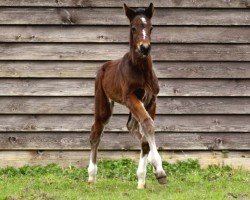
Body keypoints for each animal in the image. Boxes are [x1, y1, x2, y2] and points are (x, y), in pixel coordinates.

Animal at [87, 2, 167, 189]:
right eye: (133, 28)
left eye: (151, 27)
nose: (144, 48)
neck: (142, 71)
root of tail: (104, 66)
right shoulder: (130, 97)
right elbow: (148, 124)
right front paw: (160, 171)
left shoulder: (151, 100)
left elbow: (146, 131)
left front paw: (144, 177)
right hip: (103, 104)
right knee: (96, 131)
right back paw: (91, 175)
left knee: (132, 127)